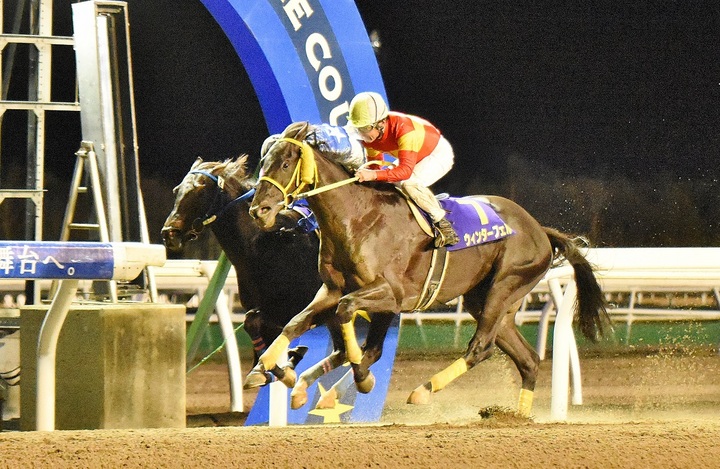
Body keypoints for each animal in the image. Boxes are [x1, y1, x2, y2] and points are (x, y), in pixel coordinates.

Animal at [246, 121, 610, 417]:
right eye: (263, 163)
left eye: (285, 163)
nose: (258, 210)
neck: (357, 217)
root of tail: (540, 230)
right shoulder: (333, 289)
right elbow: (298, 322)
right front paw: (266, 370)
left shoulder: (391, 294)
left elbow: (350, 320)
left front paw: (360, 378)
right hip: (488, 300)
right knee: (528, 360)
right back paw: (518, 416)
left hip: (506, 284)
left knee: (480, 347)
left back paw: (422, 391)